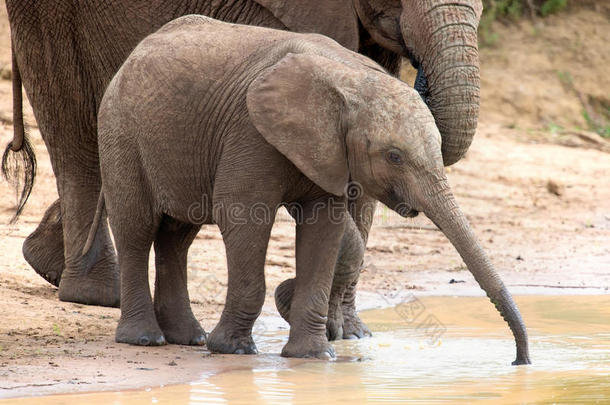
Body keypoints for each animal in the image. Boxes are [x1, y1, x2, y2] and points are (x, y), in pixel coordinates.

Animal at [89, 15, 528, 362]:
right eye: (394, 156)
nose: (519, 361)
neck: (351, 79)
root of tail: (132, 54)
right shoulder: (249, 132)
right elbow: (242, 219)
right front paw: (234, 350)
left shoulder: (329, 151)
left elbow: (324, 228)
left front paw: (314, 356)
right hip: (120, 131)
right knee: (137, 229)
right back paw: (145, 340)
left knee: (177, 236)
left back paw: (189, 338)